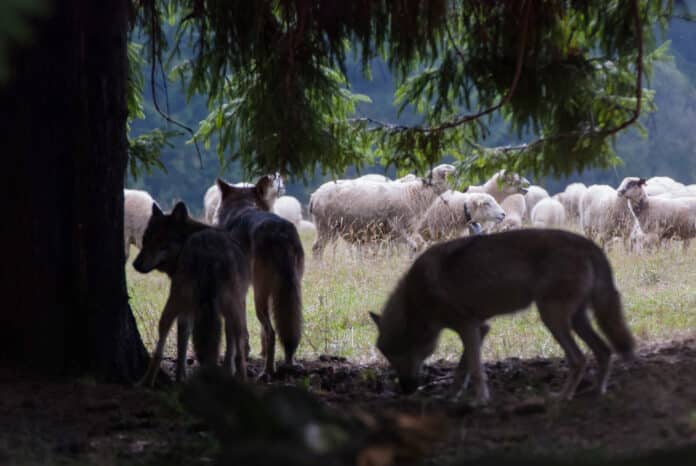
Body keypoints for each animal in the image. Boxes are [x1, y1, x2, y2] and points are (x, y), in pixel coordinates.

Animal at [133, 202, 251, 386]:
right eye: (145, 240)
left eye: (159, 241)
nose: (135, 264)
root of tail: (209, 250)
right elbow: (229, 345)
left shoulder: (186, 312)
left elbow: (182, 346)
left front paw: (180, 378)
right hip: (235, 309)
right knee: (240, 346)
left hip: (174, 302)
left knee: (159, 346)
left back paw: (146, 382)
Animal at [216, 175, 305, 379]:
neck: (242, 207)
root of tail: (280, 232)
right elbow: (243, 332)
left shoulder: (234, 292)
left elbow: (233, 334)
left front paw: (230, 366)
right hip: (288, 293)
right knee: (286, 329)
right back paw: (289, 364)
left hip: (260, 296)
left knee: (271, 332)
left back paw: (267, 372)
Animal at [309, 164, 456, 258]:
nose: (453, 168)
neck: (414, 193)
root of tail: (315, 195)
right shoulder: (399, 227)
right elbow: (414, 247)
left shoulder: (399, 233)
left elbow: (416, 247)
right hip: (325, 226)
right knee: (317, 249)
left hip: (328, 227)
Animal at [370, 228, 635, 404]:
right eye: (388, 357)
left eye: (397, 356)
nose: (405, 390)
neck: (415, 299)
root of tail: (588, 244)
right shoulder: (480, 328)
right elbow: (463, 370)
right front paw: (453, 396)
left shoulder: (468, 327)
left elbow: (476, 370)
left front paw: (480, 402)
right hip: (576, 321)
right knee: (604, 351)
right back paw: (597, 393)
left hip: (553, 319)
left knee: (580, 359)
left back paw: (562, 397)